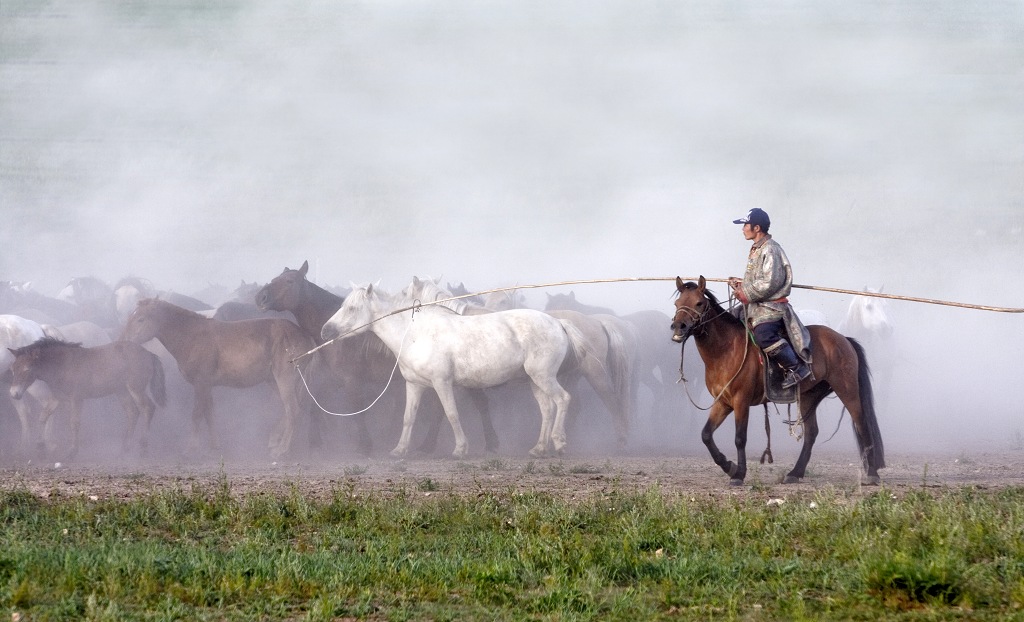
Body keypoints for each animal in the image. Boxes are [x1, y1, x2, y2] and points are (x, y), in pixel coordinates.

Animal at [7, 338, 165, 459]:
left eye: (27, 369)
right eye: (13, 369)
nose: (14, 393)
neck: (62, 365)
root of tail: (149, 354)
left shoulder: (76, 398)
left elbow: (74, 423)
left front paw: (72, 452)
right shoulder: (58, 398)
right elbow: (43, 416)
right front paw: (40, 447)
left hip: (135, 388)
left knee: (147, 408)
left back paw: (143, 447)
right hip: (121, 391)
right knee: (133, 412)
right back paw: (124, 449)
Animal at [120, 297, 313, 457]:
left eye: (140, 319)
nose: (124, 340)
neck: (193, 337)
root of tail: (303, 336)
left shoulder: (201, 383)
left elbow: (197, 415)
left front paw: (191, 448)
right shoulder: (207, 386)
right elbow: (209, 414)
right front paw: (214, 446)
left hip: (284, 379)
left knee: (293, 410)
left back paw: (283, 449)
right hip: (275, 381)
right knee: (291, 409)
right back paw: (276, 441)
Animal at [327, 284, 585, 459]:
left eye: (351, 308)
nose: (325, 331)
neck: (416, 333)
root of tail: (558, 322)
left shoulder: (442, 382)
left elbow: (451, 414)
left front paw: (460, 449)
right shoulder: (414, 385)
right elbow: (408, 418)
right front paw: (400, 450)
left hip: (544, 377)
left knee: (563, 399)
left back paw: (559, 443)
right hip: (534, 380)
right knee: (547, 409)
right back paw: (539, 448)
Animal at [671, 276, 880, 487]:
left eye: (699, 303)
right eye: (677, 303)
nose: (678, 327)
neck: (726, 350)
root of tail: (843, 339)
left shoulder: (741, 401)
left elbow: (740, 438)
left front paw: (739, 474)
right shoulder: (723, 402)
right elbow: (706, 435)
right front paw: (729, 466)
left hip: (847, 390)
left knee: (862, 423)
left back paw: (872, 474)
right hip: (808, 396)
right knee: (811, 433)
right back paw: (795, 473)